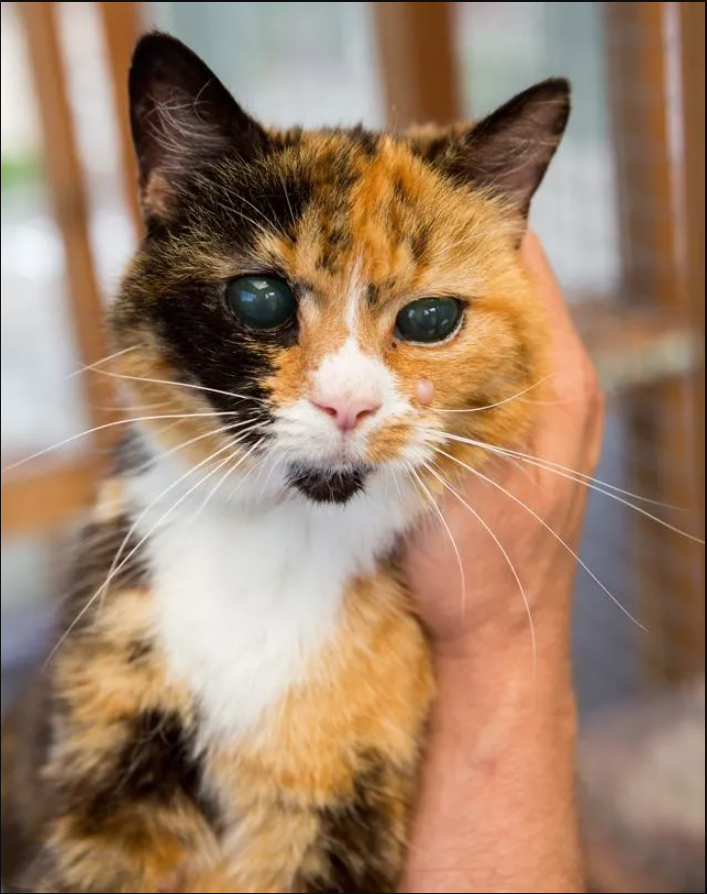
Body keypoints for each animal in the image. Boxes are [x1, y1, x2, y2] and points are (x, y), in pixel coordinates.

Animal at [0, 33, 572, 894]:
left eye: (431, 317)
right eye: (260, 299)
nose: (347, 405)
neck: (274, 546)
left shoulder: (346, 794)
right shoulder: (106, 742)